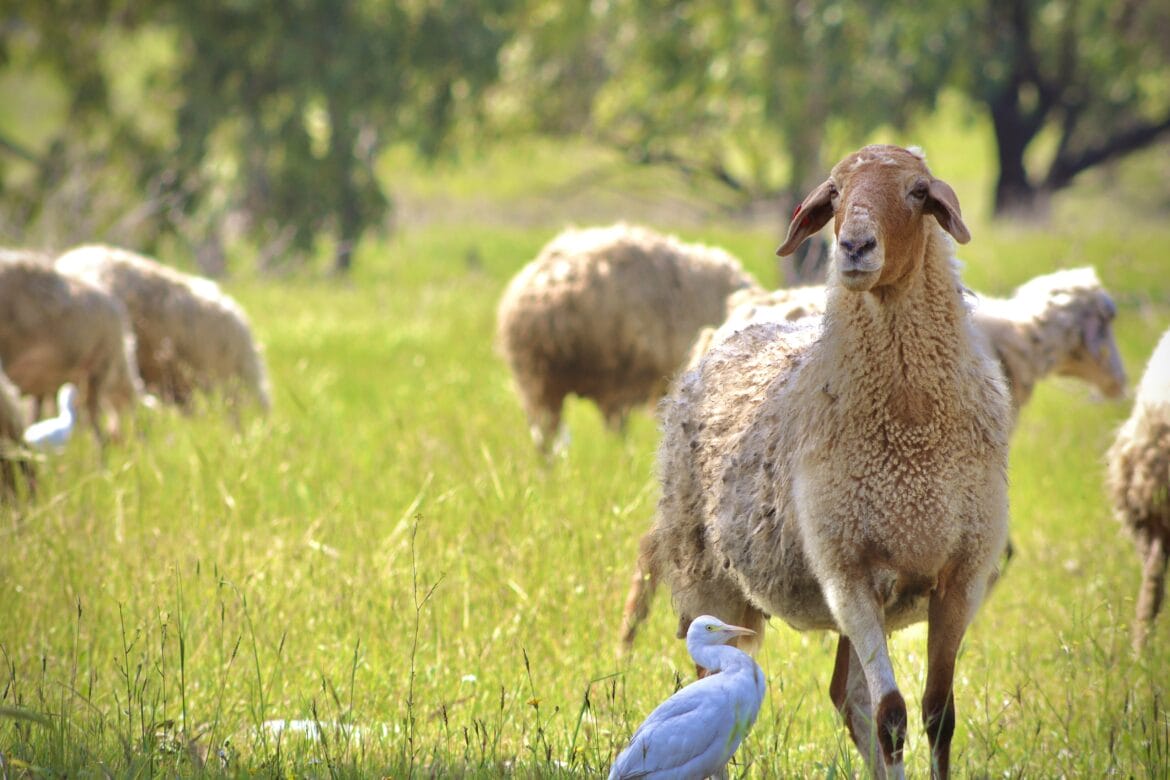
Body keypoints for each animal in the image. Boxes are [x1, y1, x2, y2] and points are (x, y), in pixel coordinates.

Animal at [0, 246, 143, 442]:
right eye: (130, 403)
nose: (135, 436)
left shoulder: (44, 379)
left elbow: (35, 412)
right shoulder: (99, 366)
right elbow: (93, 416)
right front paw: (100, 447)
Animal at [627, 147, 1010, 780]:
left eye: (918, 191)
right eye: (833, 194)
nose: (854, 246)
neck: (909, 434)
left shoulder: (960, 573)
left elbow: (937, 714)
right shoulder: (847, 570)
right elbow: (893, 714)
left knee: (847, 696)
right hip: (708, 574)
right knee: (712, 680)